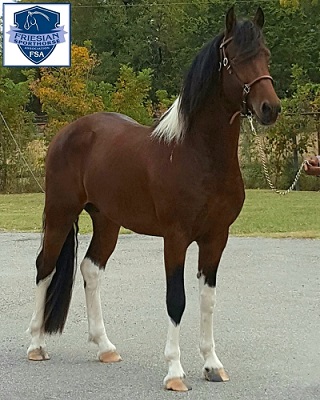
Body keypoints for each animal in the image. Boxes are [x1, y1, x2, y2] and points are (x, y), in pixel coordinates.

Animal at [27, 6, 278, 392]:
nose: (270, 108)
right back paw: (36, 344)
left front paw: (212, 365)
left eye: (264, 55)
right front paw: (174, 372)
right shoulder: (175, 238)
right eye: (234, 59)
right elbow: (176, 300)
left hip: (107, 221)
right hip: (59, 212)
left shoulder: (216, 238)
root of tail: (67, 132)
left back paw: (105, 347)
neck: (197, 155)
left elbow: (207, 301)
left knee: (90, 269)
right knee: (45, 267)